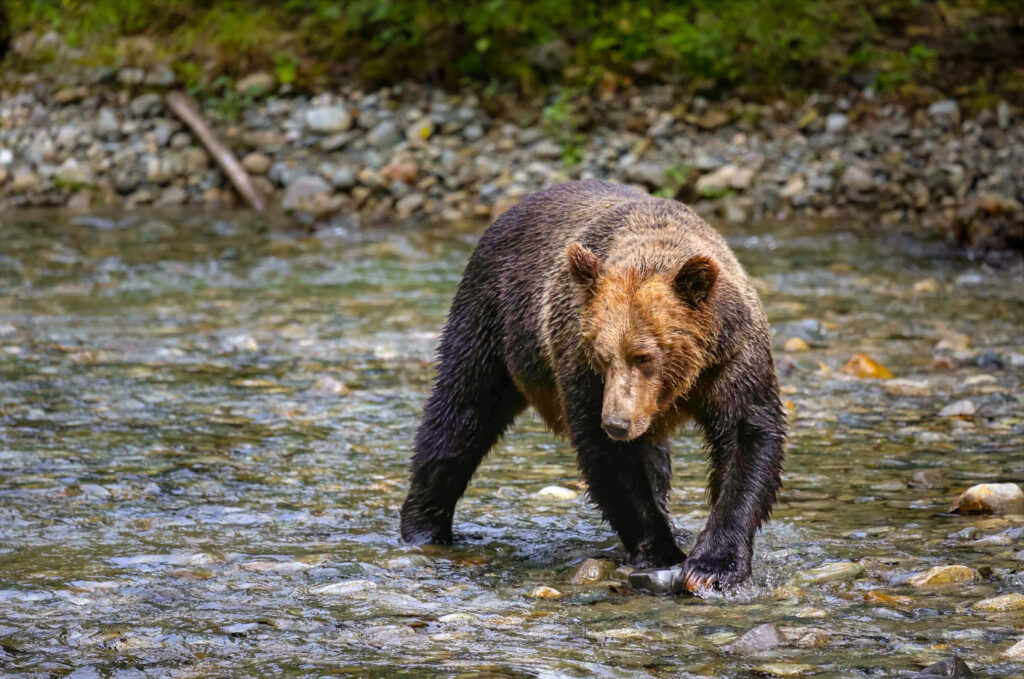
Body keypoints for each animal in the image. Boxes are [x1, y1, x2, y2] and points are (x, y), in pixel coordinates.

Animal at [400, 179, 786, 592]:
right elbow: (606, 457)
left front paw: (713, 565)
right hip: (492, 320)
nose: (617, 422)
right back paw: (424, 526)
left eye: (644, 355)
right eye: (603, 355)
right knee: (461, 410)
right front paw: (661, 551)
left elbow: (748, 435)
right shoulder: (580, 363)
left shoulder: (731, 357)